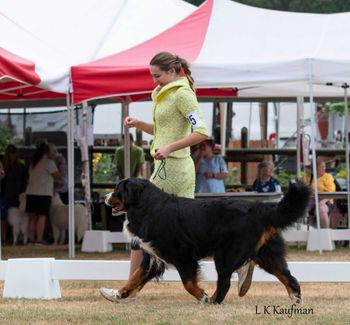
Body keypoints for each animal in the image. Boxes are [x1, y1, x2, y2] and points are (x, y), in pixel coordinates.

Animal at [104, 178, 312, 302]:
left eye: (117, 190)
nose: (105, 197)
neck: (148, 208)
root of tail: (259, 208)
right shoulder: (154, 257)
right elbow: (135, 277)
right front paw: (120, 293)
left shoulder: (183, 256)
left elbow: (188, 283)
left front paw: (202, 296)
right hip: (267, 254)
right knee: (288, 276)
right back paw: (295, 298)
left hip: (225, 255)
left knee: (225, 283)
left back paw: (212, 301)